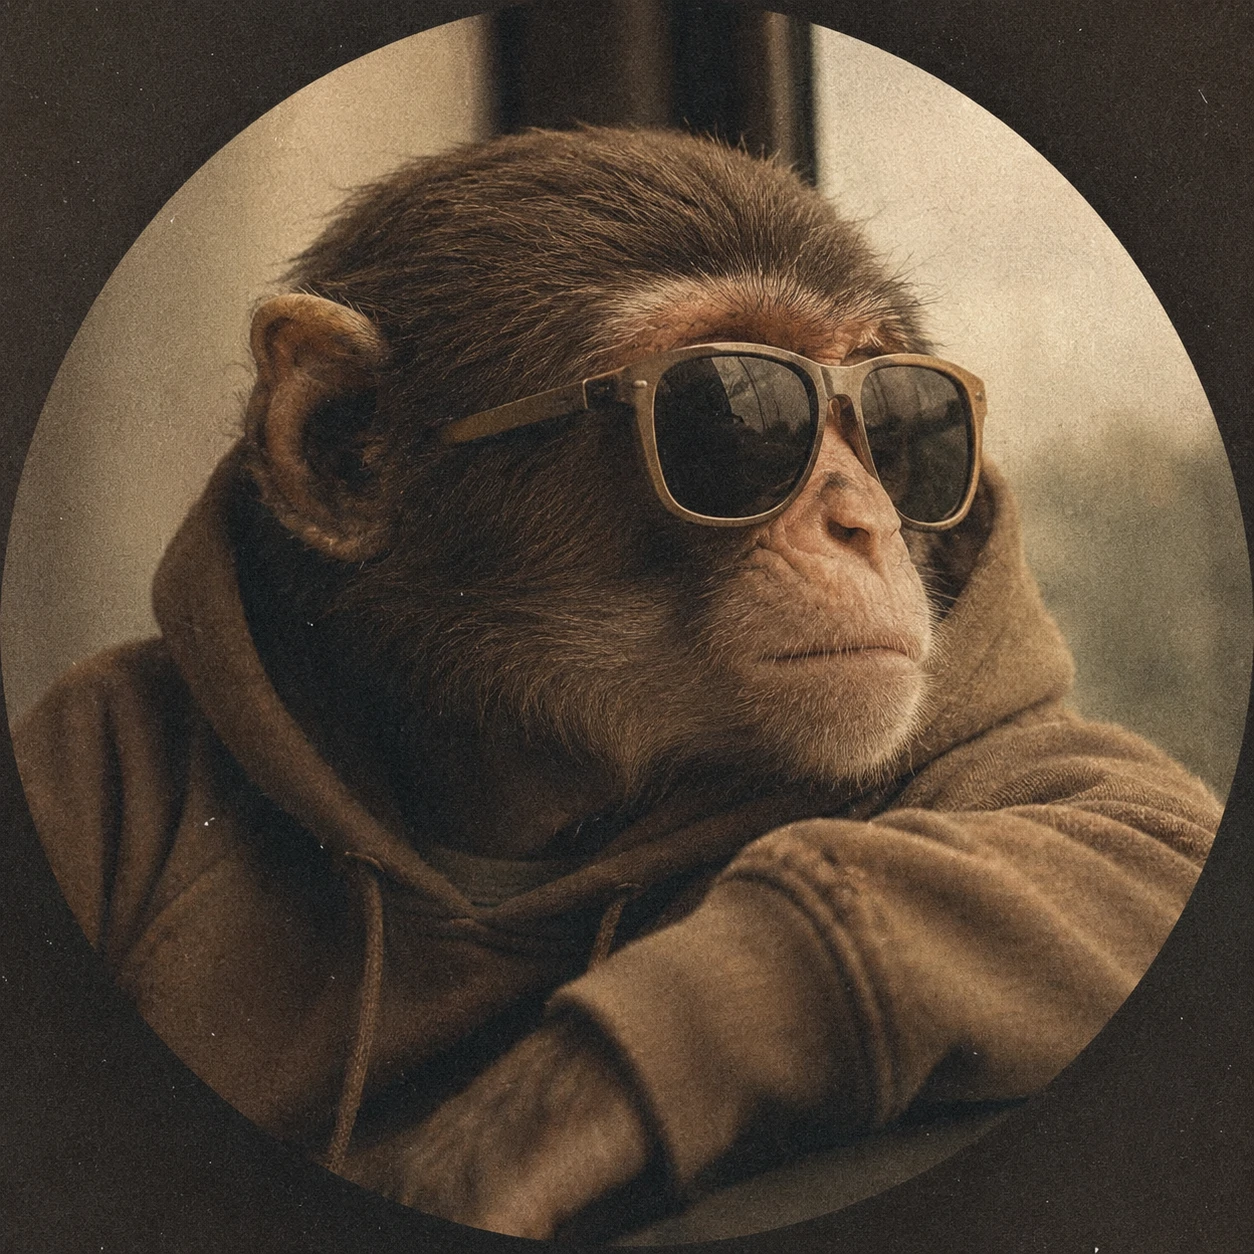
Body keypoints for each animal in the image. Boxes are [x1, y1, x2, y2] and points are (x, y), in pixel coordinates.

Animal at [14, 126, 1220, 1240]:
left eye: (903, 417)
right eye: (728, 410)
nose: (863, 516)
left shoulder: (1009, 738)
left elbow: (1125, 821)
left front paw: (495, 1145)